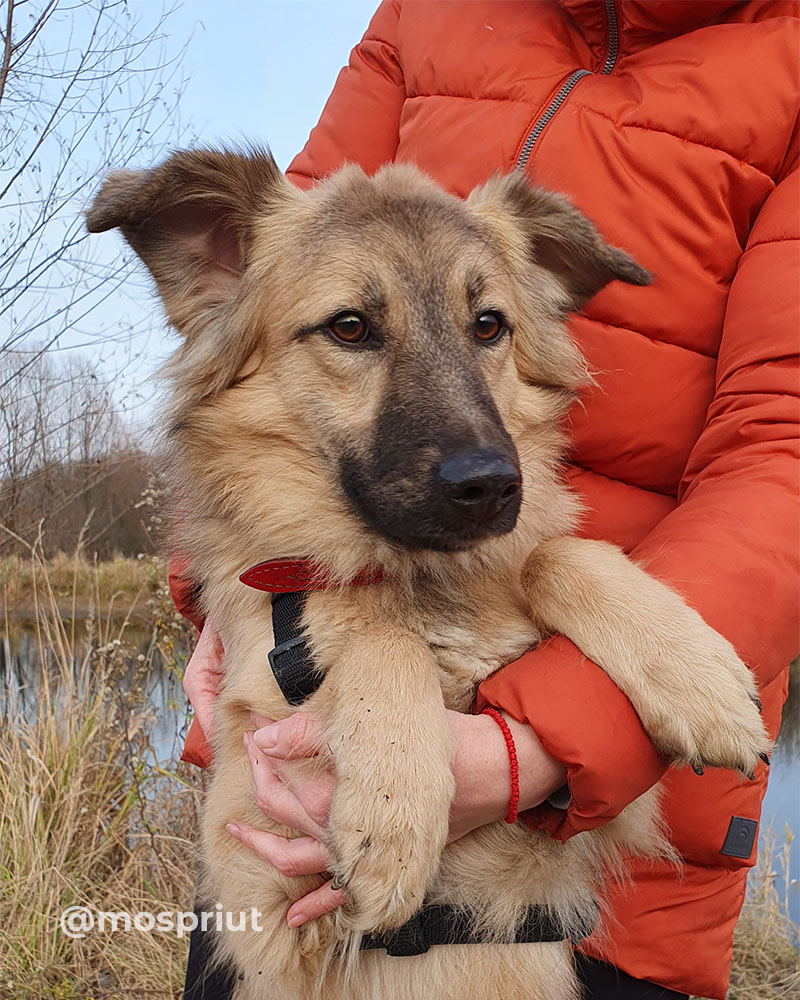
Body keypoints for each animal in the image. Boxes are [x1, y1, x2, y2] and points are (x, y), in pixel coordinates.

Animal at [86, 150, 768, 1000]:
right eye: (350, 326)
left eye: (489, 325)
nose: (491, 486)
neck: (422, 579)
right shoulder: (257, 849)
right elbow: (382, 639)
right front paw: (393, 821)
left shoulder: (603, 812)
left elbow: (554, 552)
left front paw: (696, 677)